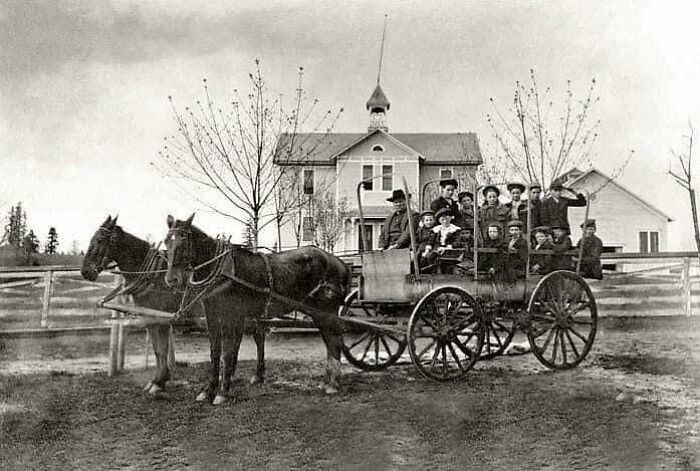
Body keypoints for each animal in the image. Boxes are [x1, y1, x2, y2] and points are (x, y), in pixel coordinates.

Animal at [80, 217, 268, 394]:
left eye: (100, 239)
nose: (85, 271)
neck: (152, 275)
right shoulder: (149, 318)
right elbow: (157, 350)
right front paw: (157, 380)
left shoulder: (161, 320)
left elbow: (162, 350)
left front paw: (159, 382)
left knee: (258, 336)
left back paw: (257, 375)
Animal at [163, 214, 350, 406]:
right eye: (166, 242)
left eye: (184, 241)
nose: (172, 279)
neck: (222, 272)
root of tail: (339, 262)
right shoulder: (212, 315)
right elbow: (215, 353)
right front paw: (207, 391)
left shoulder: (231, 315)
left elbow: (227, 353)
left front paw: (222, 392)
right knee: (330, 341)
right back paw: (327, 381)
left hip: (326, 311)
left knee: (334, 341)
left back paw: (332, 384)